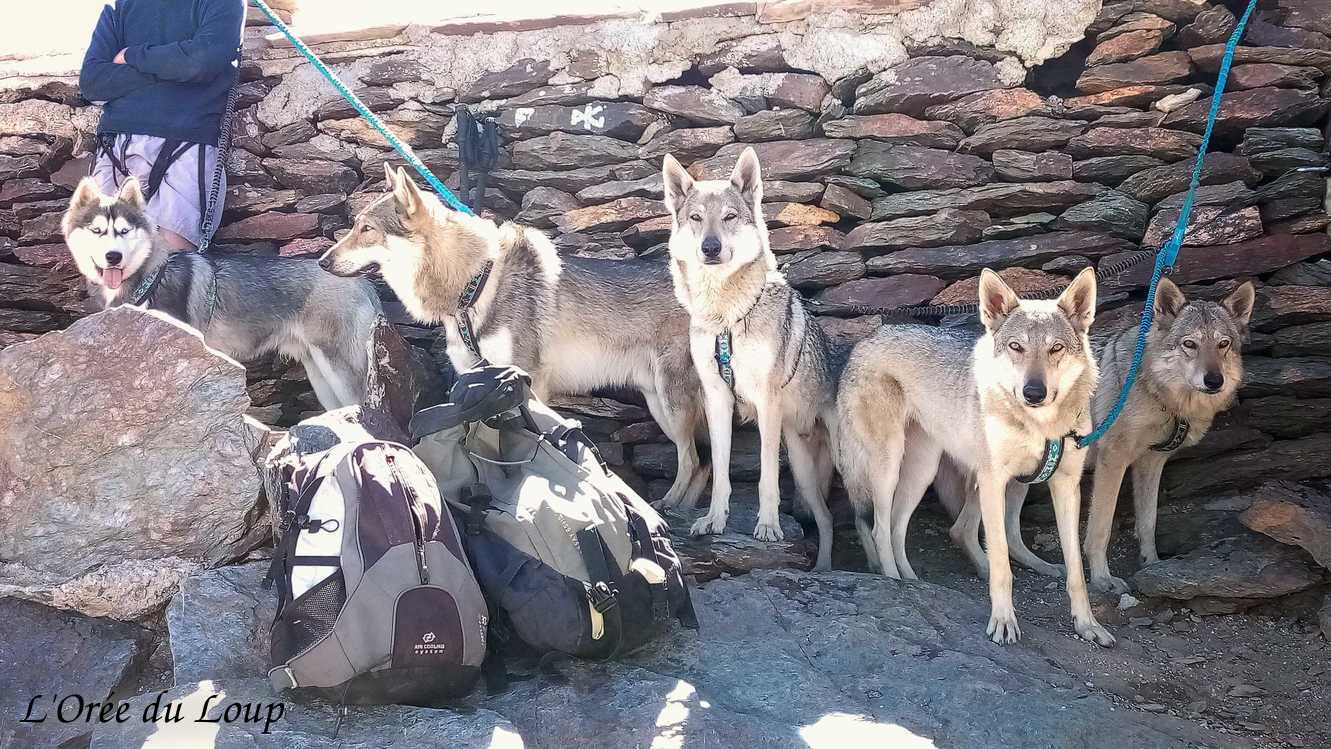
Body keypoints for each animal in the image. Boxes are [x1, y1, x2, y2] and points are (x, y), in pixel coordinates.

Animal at [64, 176, 383, 409]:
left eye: (124, 230)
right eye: (96, 231)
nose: (113, 257)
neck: (150, 279)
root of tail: (361, 282)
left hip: (340, 367)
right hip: (320, 374)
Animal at [318, 164, 713, 510]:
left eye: (366, 229)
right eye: (354, 226)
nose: (322, 262)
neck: (473, 285)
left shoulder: (527, 380)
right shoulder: (477, 378)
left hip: (672, 403)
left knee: (692, 460)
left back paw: (672, 507)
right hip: (660, 405)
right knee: (702, 462)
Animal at [662, 148, 835, 569]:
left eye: (729, 217)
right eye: (696, 218)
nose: (710, 248)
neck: (726, 316)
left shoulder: (767, 402)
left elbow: (766, 478)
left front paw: (769, 528)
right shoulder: (717, 399)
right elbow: (721, 471)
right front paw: (713, 520)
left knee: (831, 520)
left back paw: (826, 568)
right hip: (802, 467)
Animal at [841, 268, 1112, 643]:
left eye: (1055, 348)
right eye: (1016, 347)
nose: (1033, 392)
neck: (1040, 426)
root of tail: (866, 340)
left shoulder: (1065, 485)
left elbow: (1076, 572)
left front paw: (1088, 625)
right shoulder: (994, 480)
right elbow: (1001, 564)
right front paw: (1003, 622)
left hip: (924, 472)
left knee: (898, 526)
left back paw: (911, 580)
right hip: (889, 467)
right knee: (880, 526)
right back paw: (894, 580)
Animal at [1080, 278, 1256, 596]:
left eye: (1223, 345)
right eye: (1190, 344)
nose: (1214, 381)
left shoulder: (1151, 462)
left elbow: (1148, 522)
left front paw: (1152, 564)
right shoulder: (1112, 461)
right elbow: (1101, 527)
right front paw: (1101, 579)